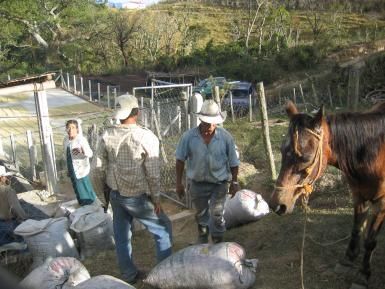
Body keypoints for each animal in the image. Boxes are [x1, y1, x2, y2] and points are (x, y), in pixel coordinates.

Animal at [268, 101, 384, 288]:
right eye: (281, 151)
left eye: (305, 158)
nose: (276, 204)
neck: (373, 152)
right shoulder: (359, 196)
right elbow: (356, 229)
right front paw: (348, 260)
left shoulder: (381, 203)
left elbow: (370, 241)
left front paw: (363, 274)